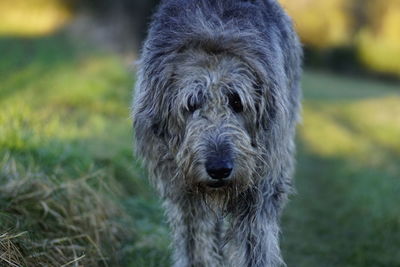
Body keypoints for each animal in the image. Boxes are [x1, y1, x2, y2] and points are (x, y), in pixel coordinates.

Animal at [133, 1, 302, 266]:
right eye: (191, 103)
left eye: (237, 101)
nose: (219, 169)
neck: (213, 33)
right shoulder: (183, 193)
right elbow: (195, 242)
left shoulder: (258, 190)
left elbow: (254, 244)